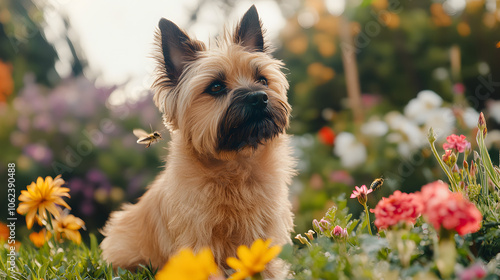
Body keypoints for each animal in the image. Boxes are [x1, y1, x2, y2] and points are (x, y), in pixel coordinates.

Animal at [100, 6, 294, 278]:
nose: (259, 97)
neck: (236, 165)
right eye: (216, 87)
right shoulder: (198, 241)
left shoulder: (265, 234)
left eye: (262, 79)